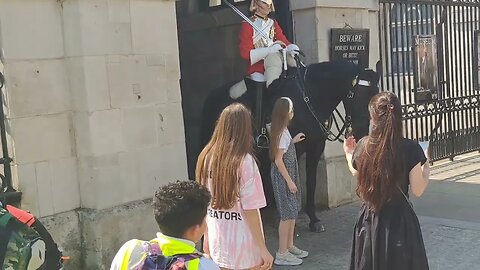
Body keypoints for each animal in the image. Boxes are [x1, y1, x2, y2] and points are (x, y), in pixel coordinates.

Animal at [200, 59, 378, 232]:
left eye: (375, 94)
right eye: (357, 94)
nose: (362, 131)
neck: (310, 95)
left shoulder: (315, 147)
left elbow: (311, 181)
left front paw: (313, 219)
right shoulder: (292, 148)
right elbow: (289, 178)